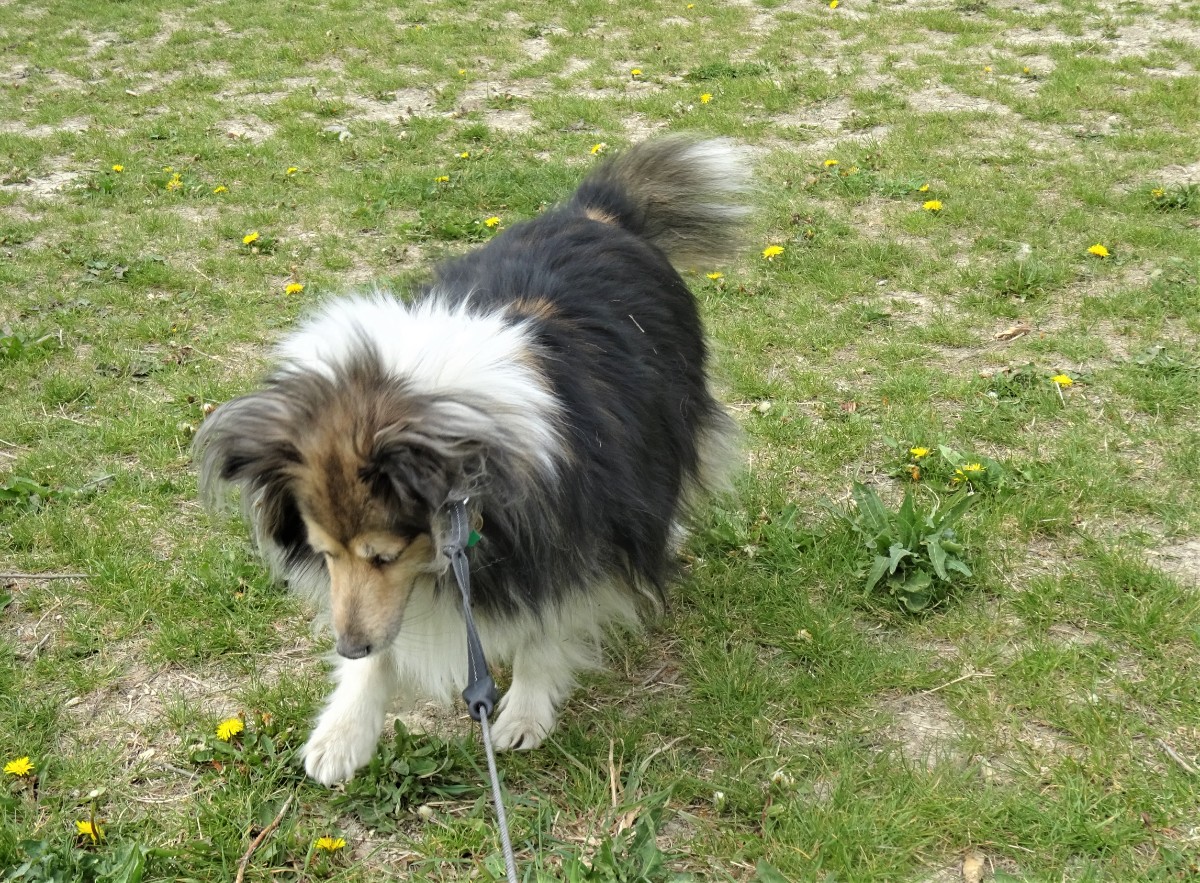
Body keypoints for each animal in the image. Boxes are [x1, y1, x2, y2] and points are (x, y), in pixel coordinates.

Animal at [194, 136, 748, 786]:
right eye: (323, 554)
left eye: (384, 556)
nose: (347, 645)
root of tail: (596, 213)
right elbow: (386, 646)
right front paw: (342, 733)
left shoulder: (566, 538)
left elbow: (545, 629)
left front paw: (525, 714)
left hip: (668, 420)